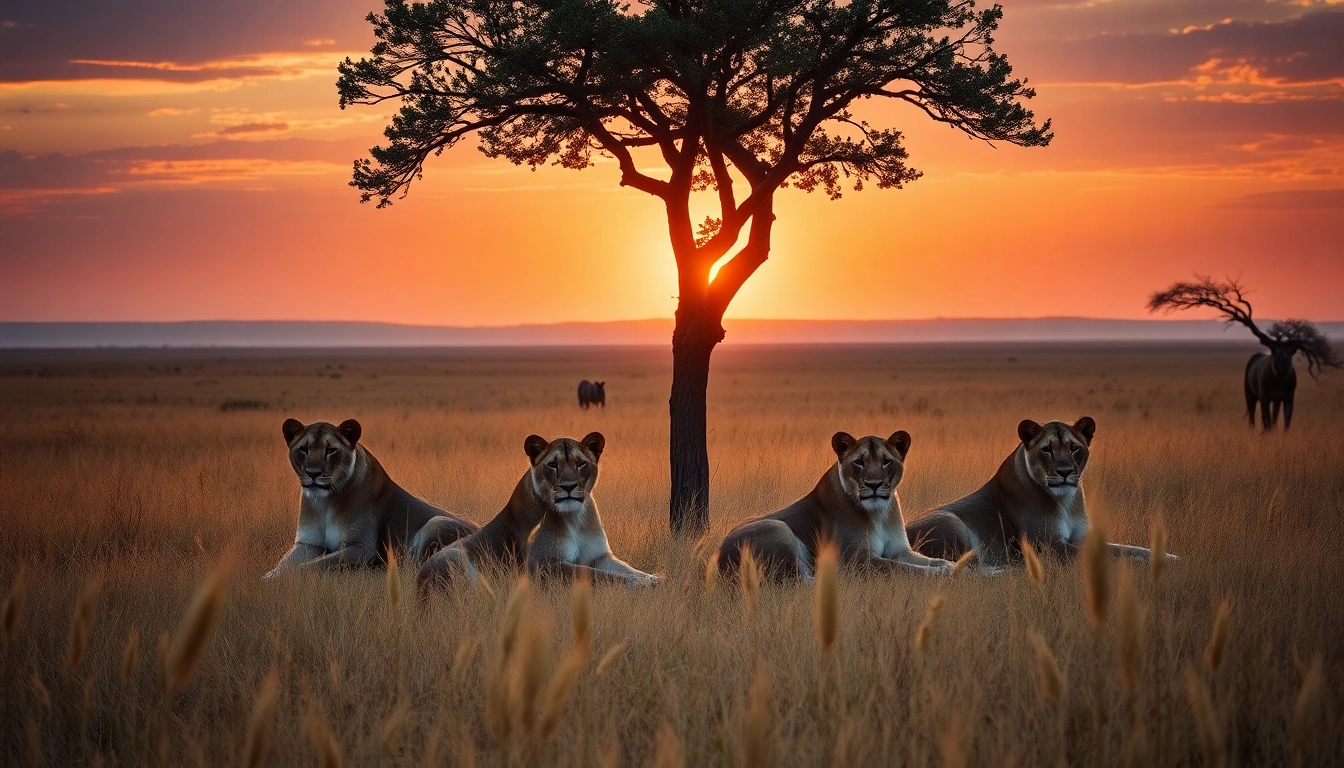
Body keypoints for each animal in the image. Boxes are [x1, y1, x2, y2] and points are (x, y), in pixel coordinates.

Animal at [264, 418, 478, 579]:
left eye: (331, 450)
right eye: (304, 449)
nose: (313, 473)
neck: (325, 502)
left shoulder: (361, 548)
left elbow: (311, 566)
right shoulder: (307, 543)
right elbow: (285, 564)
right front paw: (269, 577)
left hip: (436, 522)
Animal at [716, 431, 955, 582]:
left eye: (886, 461)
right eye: (859, 462)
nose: (874, 484)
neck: (880, 513)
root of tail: (719, 562)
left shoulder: (900, 550)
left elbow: (931, 560)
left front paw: (953, 566)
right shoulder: (860, 560)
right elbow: (903, 569)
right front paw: (941, 574)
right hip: (777, 528)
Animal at [905, 417, 1176, 566]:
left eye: (1074, 448)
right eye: (1047, 449)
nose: (1065, 471)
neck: (1066, 500)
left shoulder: (1082, 538)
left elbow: (1128, 549)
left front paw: (1169, 557)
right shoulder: (1050, 547)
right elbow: (1110, 556)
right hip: (950, 523)